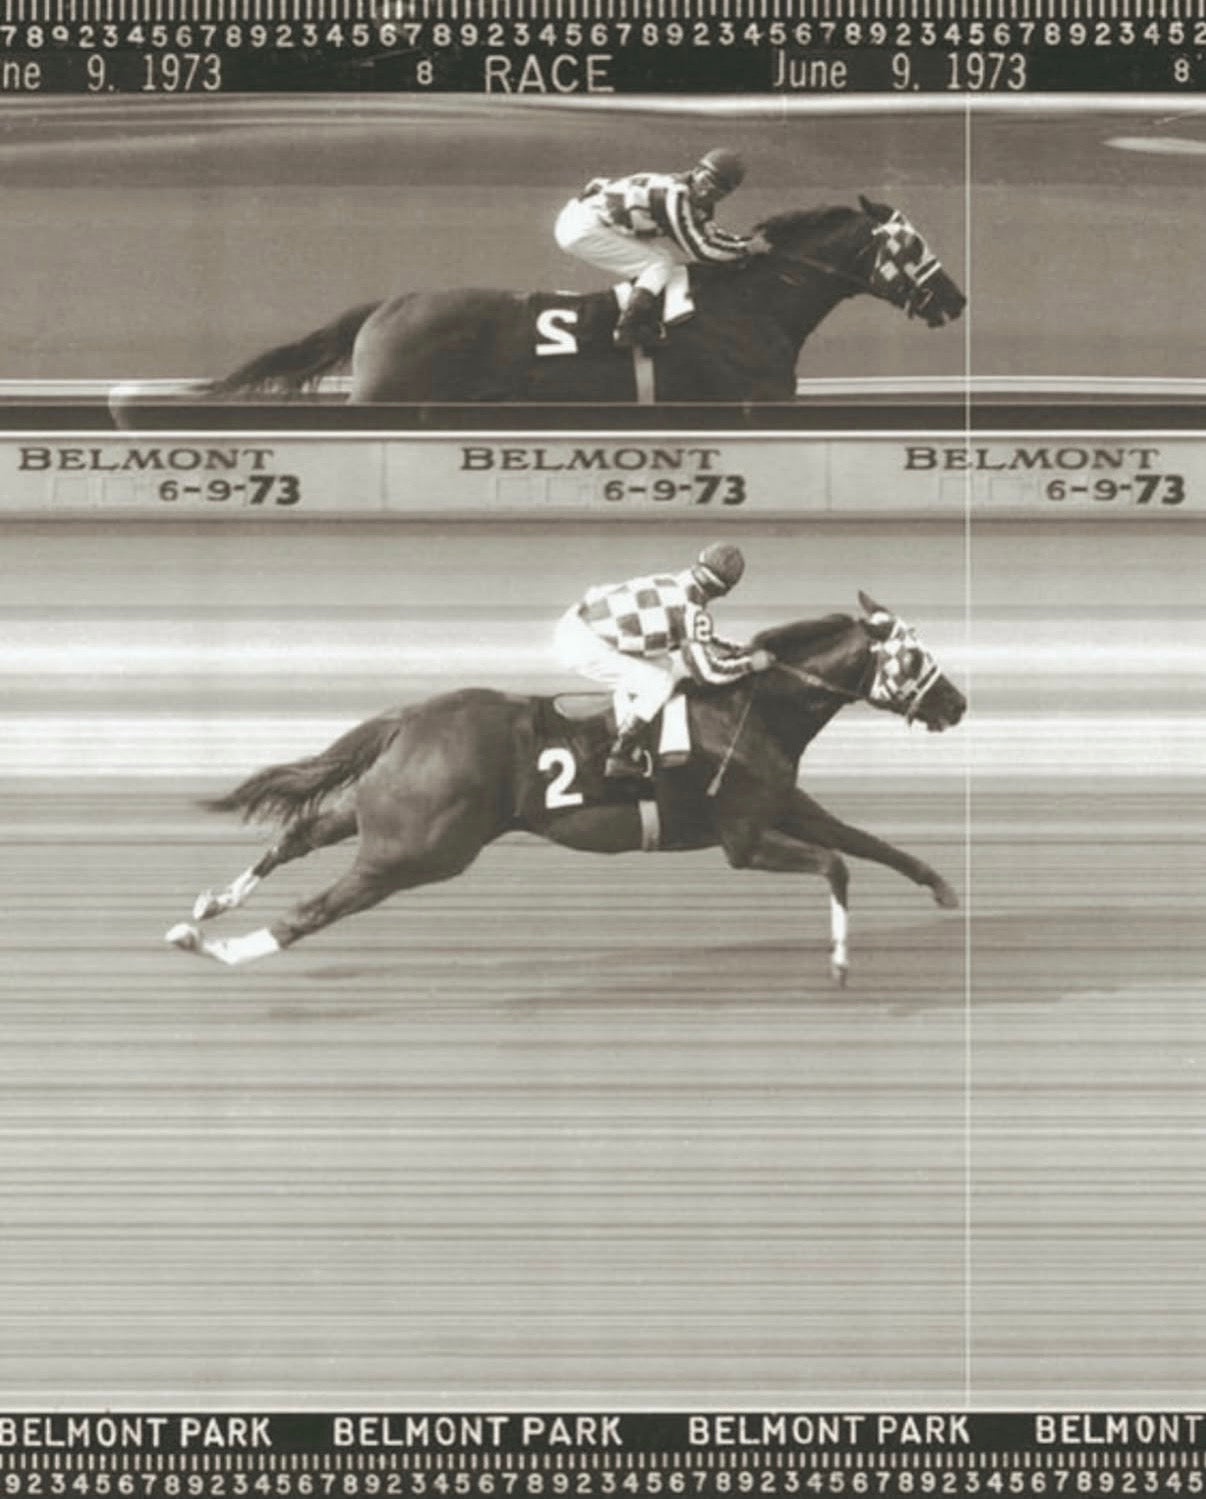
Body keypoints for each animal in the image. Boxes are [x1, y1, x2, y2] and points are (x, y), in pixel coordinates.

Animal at [164, 593, 966, 987]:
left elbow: (867, 842)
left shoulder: (785, 805)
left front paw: (943, 888)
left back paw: (205, 910)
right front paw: (839, 963)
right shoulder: (742, 837)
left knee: (302, 831)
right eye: (914, 654)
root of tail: (410, 717)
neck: (752, 704)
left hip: (386, 816)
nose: (957, 703)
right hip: (419, 849)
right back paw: (224, 949)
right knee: (314, 908)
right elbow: (837, 863)